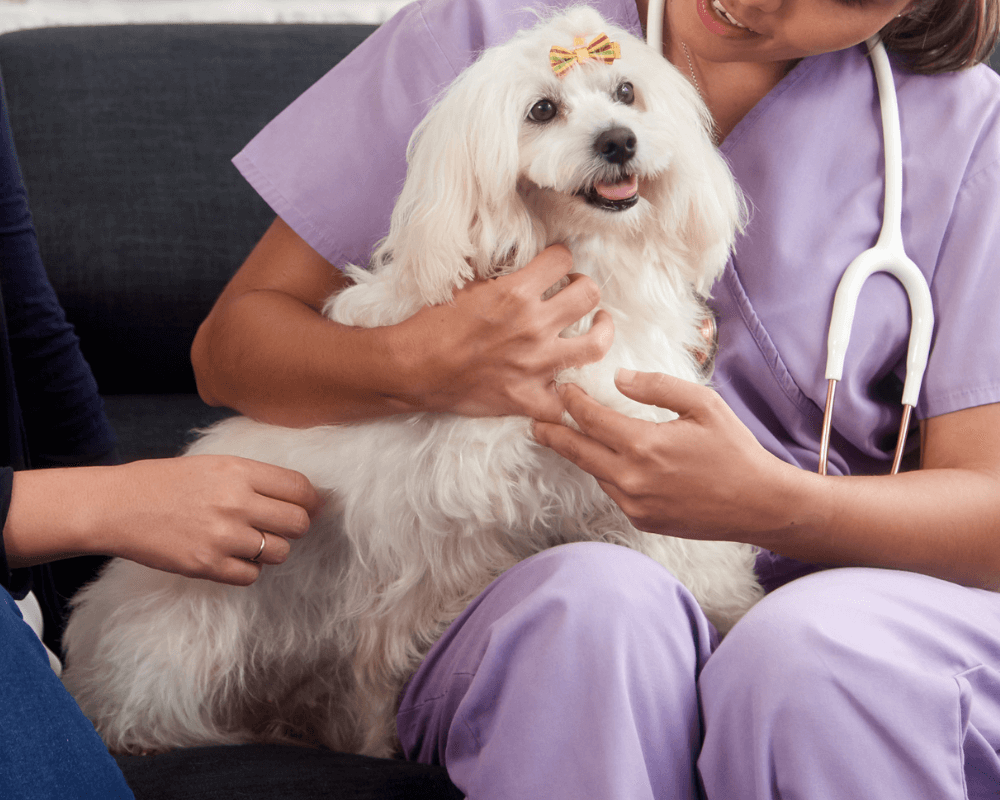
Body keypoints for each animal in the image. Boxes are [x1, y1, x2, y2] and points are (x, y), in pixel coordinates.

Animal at [62, 4, 760, 756]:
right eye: (542, 110)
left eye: (627, 92)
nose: (619, 141)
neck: (581, 262)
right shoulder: (443, 521)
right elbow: (399, 635)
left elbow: (681, 542)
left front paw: (730, 607)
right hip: (188, 635)